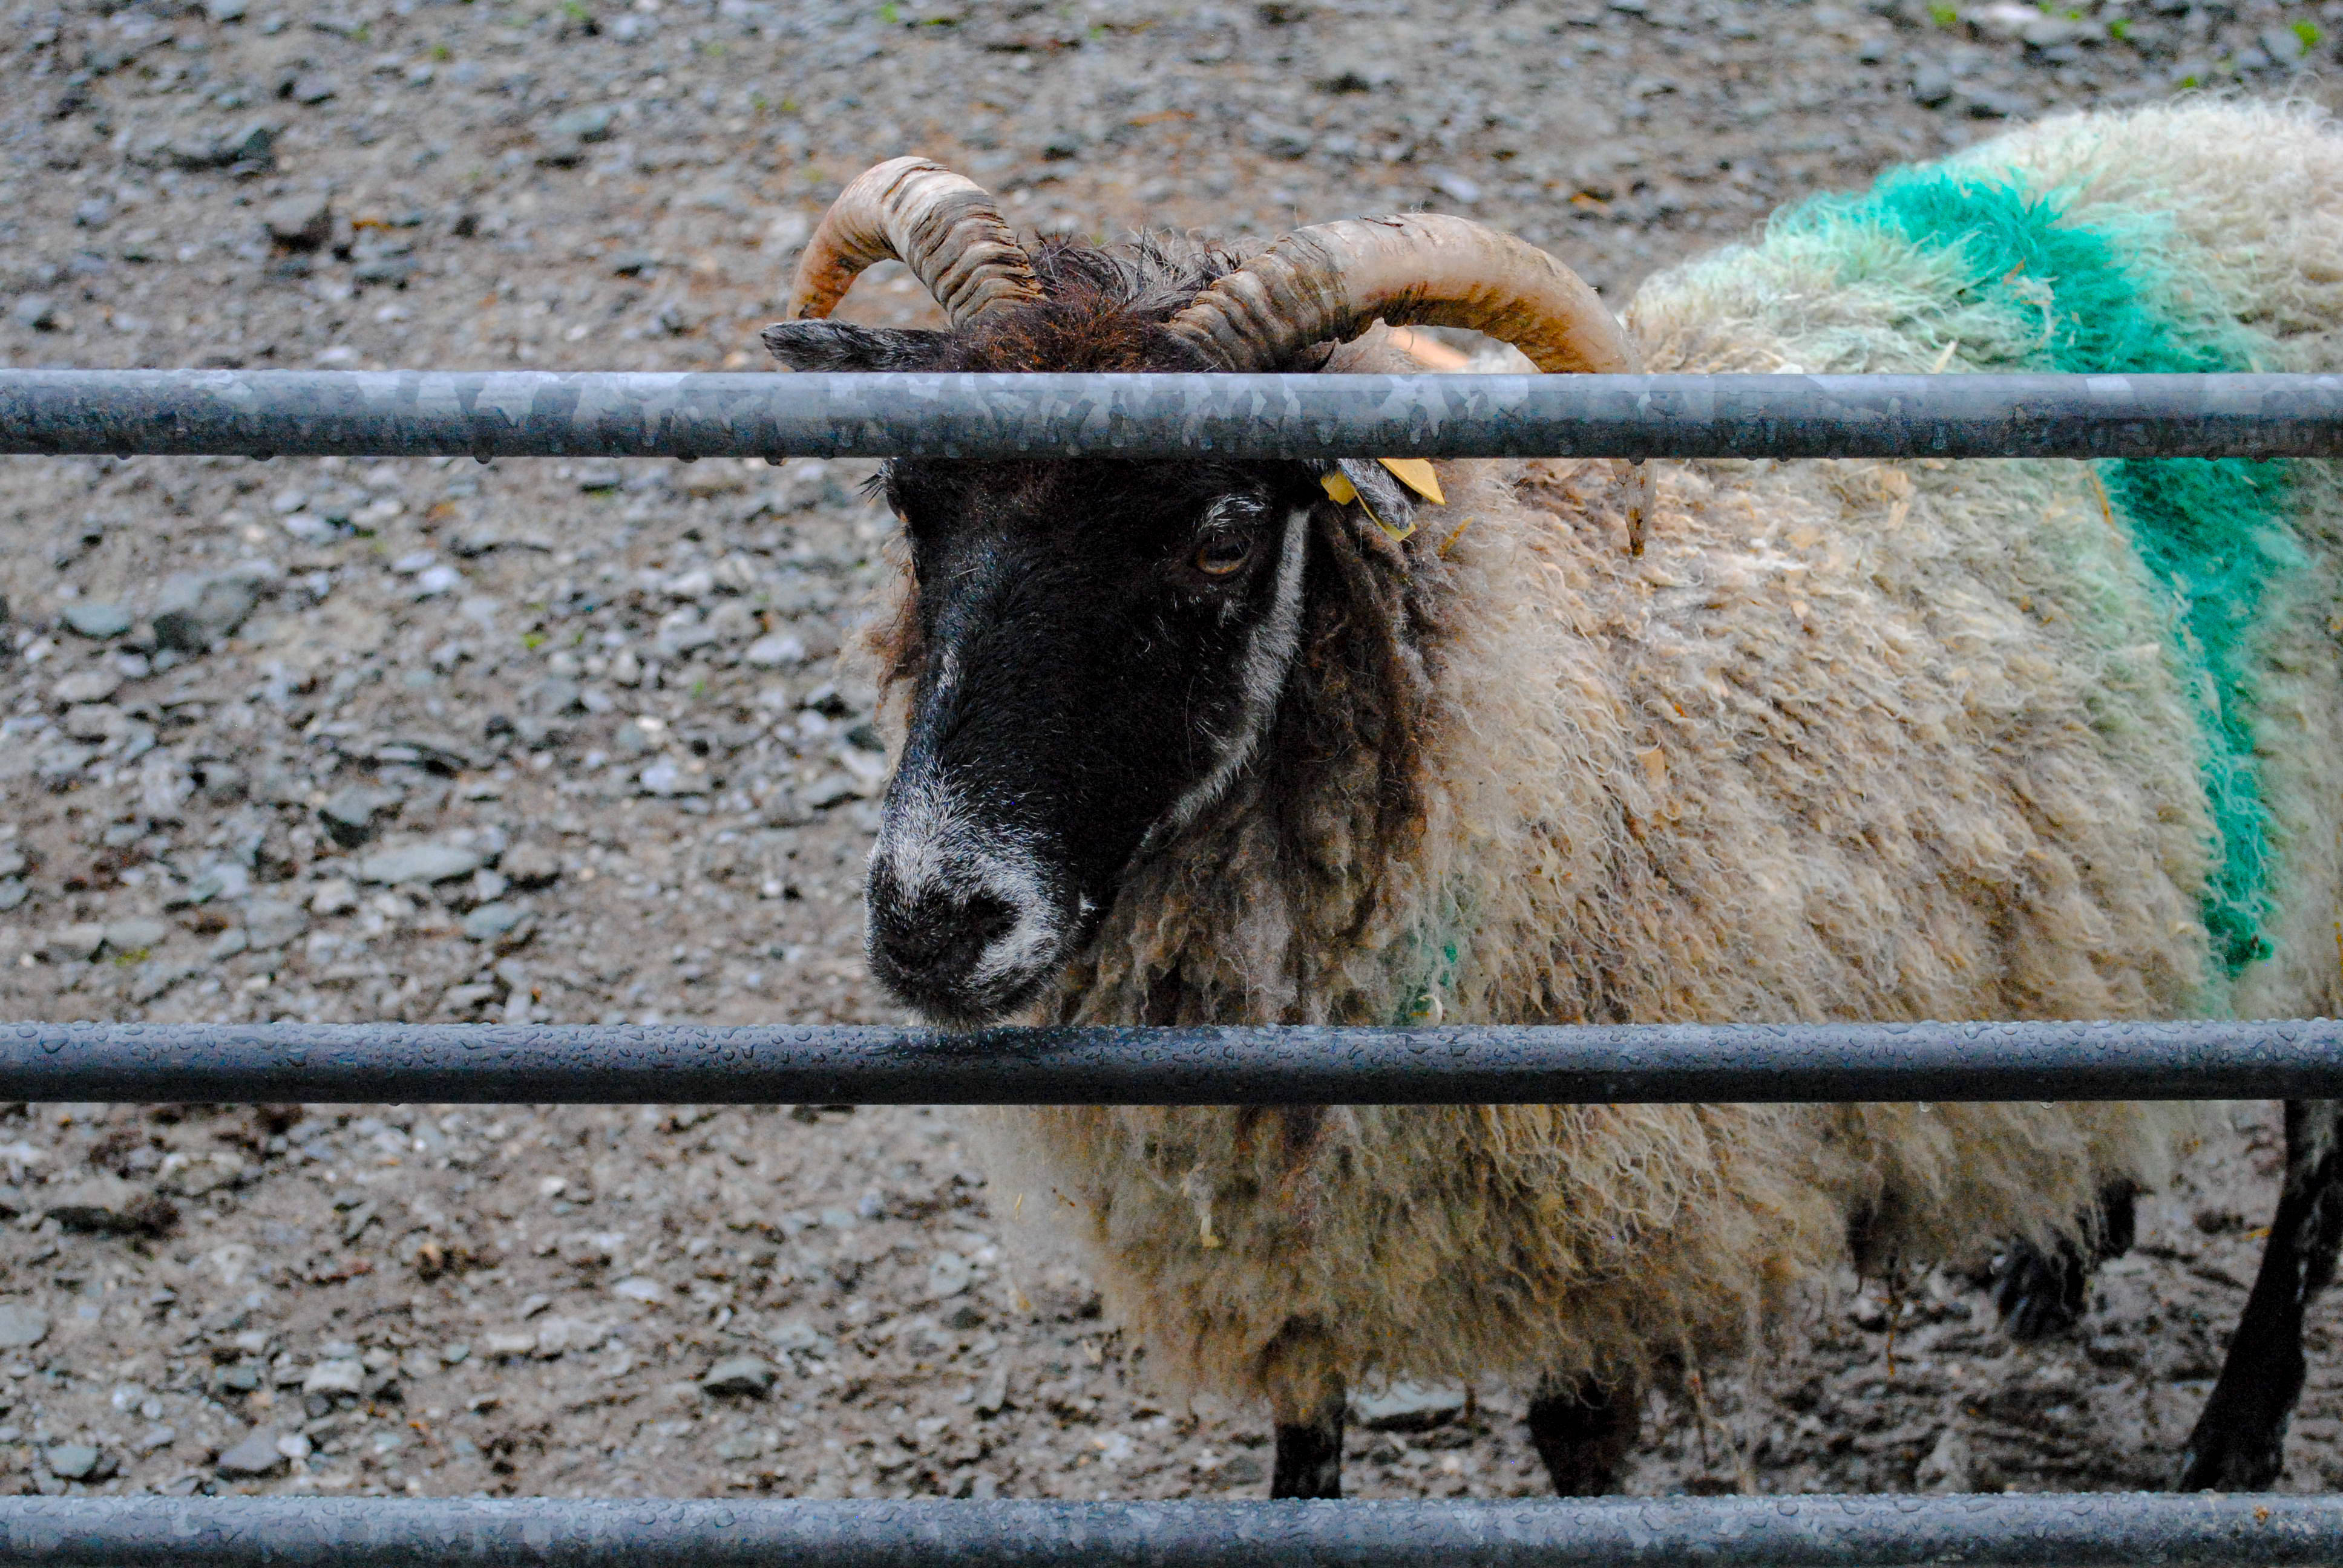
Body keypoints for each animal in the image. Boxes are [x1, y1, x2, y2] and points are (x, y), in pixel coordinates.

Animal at [760, 100, 2343, 1496]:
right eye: (912, 497)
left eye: (1221, 532)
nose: (933, 919)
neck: (1535, 716)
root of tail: (2274, 143)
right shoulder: (1296, 1257)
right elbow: (1304, 1452)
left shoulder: (1626, 1223)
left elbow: (1574, 1459)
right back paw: (2062, 1253)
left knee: (2315, 1165)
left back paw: (2235, 1437)